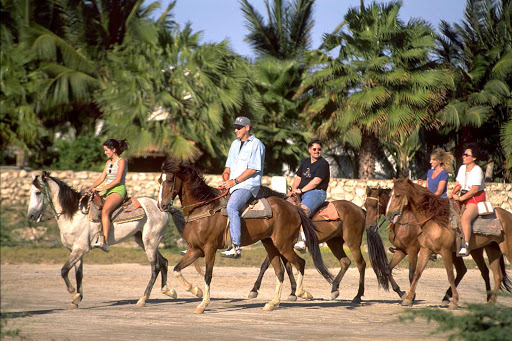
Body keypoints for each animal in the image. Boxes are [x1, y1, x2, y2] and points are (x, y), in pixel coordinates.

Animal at [26, 171, 178, 306]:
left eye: (38, 192)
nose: (31, 216)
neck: (75, 214)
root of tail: (161, 207)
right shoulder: (75, 251)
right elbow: (78, 274)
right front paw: (77, 300)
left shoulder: (80, 249)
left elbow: (64, 271)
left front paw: (74, 295)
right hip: (142, 240)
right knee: (163, 262)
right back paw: (169, 291)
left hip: (150, 242)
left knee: (155, 267)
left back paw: (143, 299)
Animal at [158, 159, 334, 314]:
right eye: (160, 180)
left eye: (170, 180)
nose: (162, 205)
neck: (204, 208)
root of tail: (293, 208)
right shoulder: (195, 249)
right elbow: (176, 269)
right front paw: (193, 290)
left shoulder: (209, 248)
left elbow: (208, 275)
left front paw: (203, 304)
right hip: (270, 245)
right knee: (280, 271)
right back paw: (273, 302)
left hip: (283, 245)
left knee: (300, 263)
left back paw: (301, 293)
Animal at [364, 186, 496, 302]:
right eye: (365, 205)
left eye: (375, 205)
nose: (369, 227)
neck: (404, 220)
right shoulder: (401, 250)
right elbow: (387, 269)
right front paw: (401, 293)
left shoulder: (412, 250)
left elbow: (412, 274)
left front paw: (412, 296)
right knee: (463, 270)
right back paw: (447, 297)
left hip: (475, 250)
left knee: (483, 271)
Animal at [386, 178, 510, 308]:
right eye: (389, 195)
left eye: (397, 195)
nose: (389, 215)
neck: (434, 220)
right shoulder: (420, 250)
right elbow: (414, 273)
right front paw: (407, 298)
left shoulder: (436, 251)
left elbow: (449, 275)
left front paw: (454, 301)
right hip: (490, 251)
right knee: (495, 275)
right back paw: (490, 301)